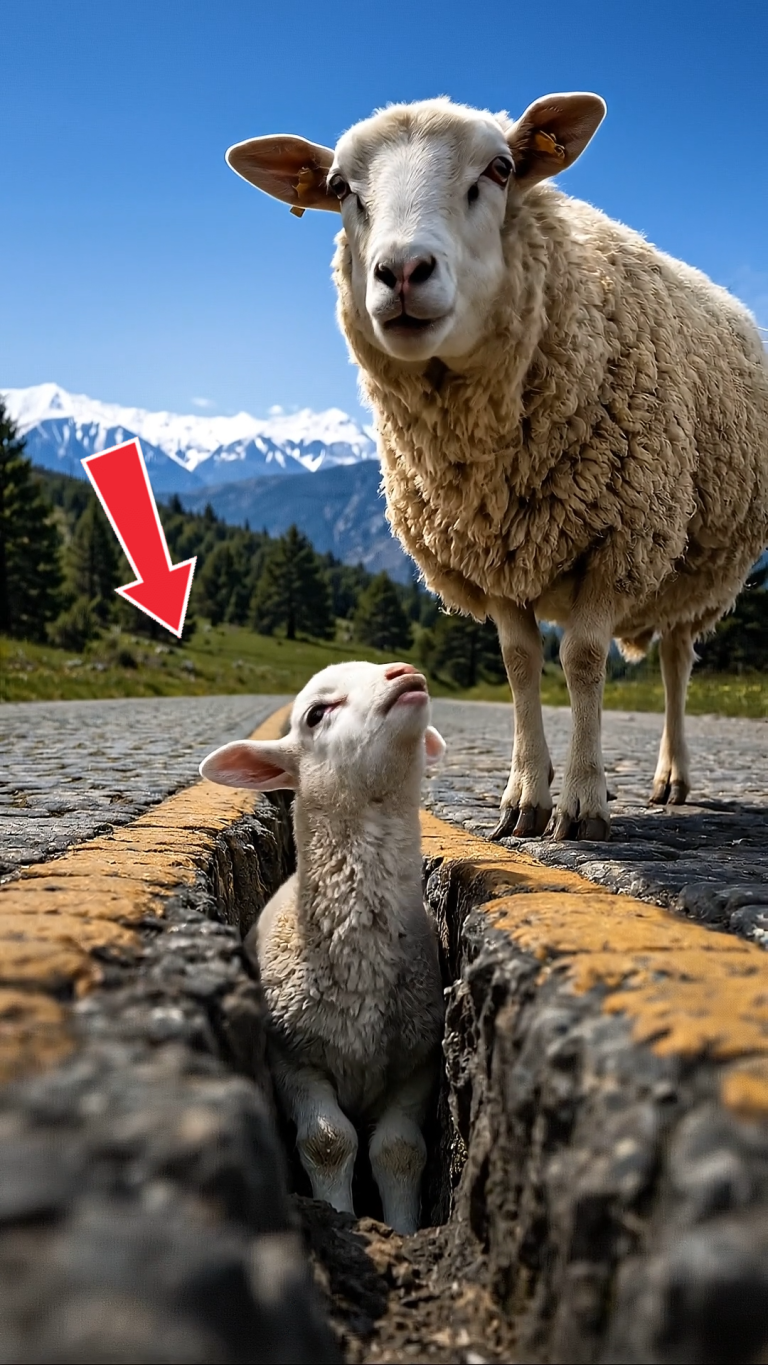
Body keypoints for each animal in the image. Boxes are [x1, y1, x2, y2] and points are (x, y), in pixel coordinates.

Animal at [199, 660, 445, 1235]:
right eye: (316, 713)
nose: (404, 672)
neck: (361, 968)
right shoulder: (291, 1056)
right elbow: (329, 1141)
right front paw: (339, 1218)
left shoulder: (418, 1061)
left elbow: (399, 1149)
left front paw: (401, 1230)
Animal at [225, 93, 768, 841]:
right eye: (338, 189)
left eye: (501, 168)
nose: (402, 271)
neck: (495, 470)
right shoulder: (498, 557)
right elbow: (519, 664)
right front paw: (524, 797)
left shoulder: (614, 543)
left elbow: (583, 661)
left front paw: (583, 802)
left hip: (695, 572)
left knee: (675, 661)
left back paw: (672, 775)